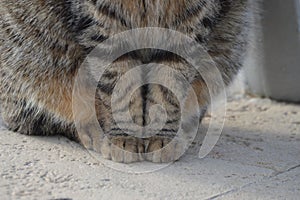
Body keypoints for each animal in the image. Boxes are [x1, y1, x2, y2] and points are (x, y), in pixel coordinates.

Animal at [0, 0, 255, 162]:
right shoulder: (104, 22)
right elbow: (120, 88)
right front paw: (125, 135)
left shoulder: (191, 23)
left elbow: (168, 86)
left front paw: (161, 135)